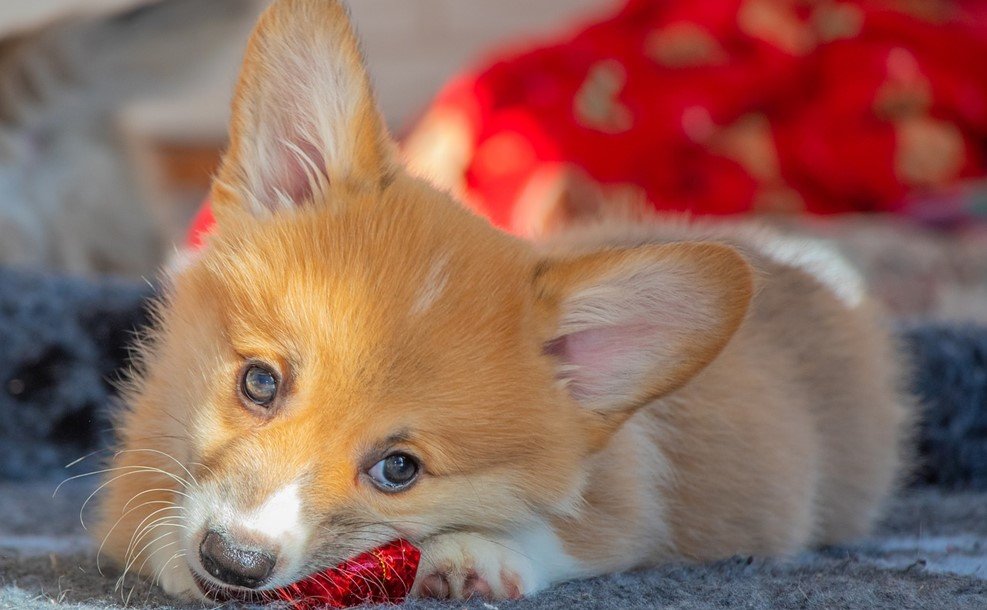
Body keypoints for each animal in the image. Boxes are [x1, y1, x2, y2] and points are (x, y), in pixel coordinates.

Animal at [96, 0, 916, 600]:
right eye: (259, 383)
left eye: (399, 470)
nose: (232, 562)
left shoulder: (629, 503)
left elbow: (562, 530)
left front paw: (474, 553)